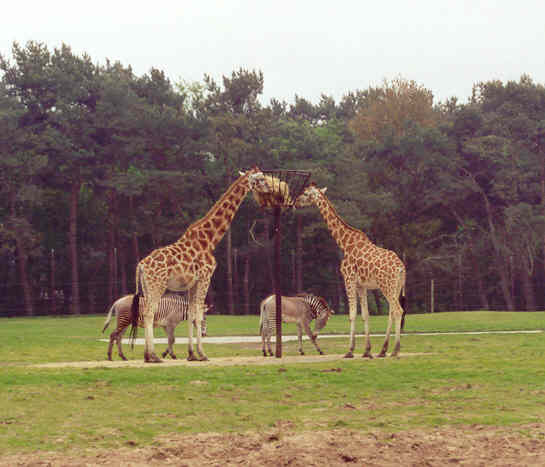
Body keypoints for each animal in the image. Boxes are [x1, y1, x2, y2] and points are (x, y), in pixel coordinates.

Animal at [296, 184, 406, 358]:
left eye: (306, 193)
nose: (295, 202)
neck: (344, 244)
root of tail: (401, 268)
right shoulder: (361, 285)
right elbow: (365, 315)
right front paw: (367, 351)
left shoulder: (348, 279)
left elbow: (352, 314)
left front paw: (350, 351)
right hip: (396, 287)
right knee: (392, 312)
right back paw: (383, 350)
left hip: (386, 286)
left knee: (398, 310)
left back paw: (394, 350)